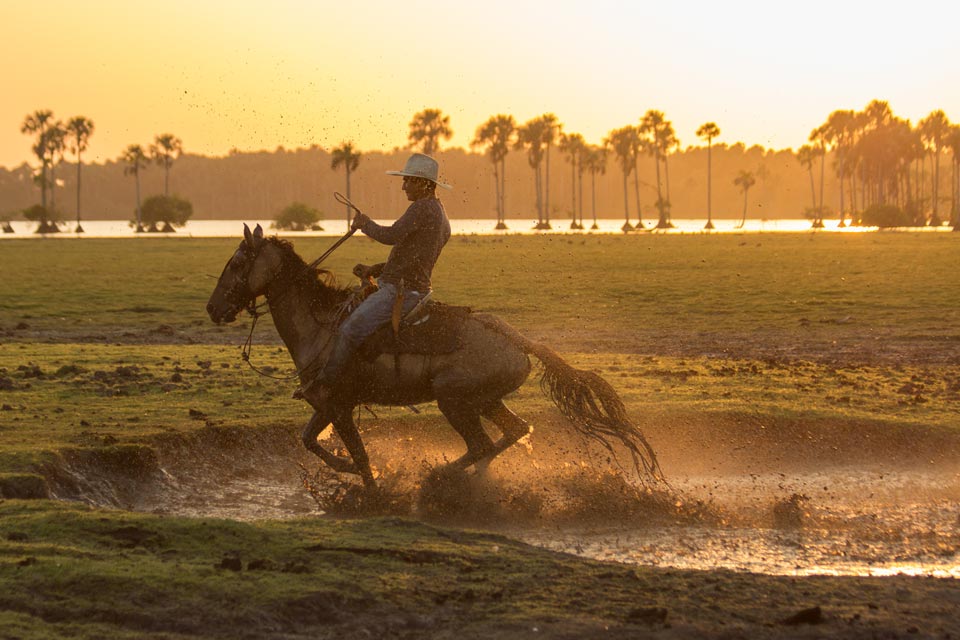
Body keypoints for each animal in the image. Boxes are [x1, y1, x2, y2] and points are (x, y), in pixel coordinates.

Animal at [207, 224, 664, 490]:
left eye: (238, 261)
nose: (214, 308)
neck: (324, 326)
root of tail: (518, 340)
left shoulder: (337, 405)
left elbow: (359, 458)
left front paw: (367, 487)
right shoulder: (329, 405)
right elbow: (308, 440)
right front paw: (346, 470)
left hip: (453, 399)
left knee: (481, 444)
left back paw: (439, 476)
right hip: (484, 400)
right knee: (513, 432)